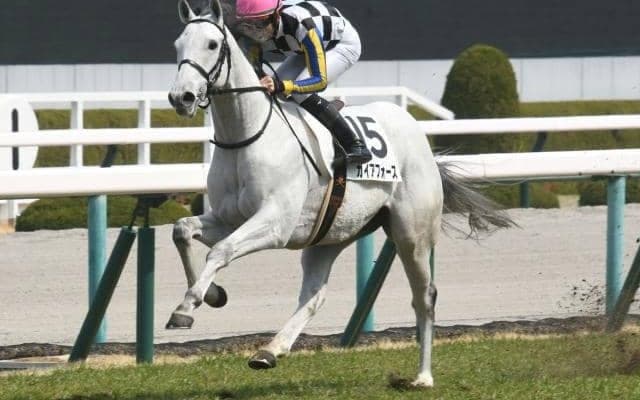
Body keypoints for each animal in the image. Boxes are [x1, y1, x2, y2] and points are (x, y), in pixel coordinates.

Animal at [167, 0, 513, 387]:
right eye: (178, 45)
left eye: (212, 44)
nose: (181, 97)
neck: (248, 135)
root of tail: (417, 134)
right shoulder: (230, 218)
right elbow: (182, 230)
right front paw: (211, 295)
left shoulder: (275, 224)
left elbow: (221, 250)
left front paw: (188, 305)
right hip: (330, 236)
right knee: (315, 295)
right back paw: (269, 351)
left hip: (412, 234)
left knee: (425, 295)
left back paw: (423, 376)